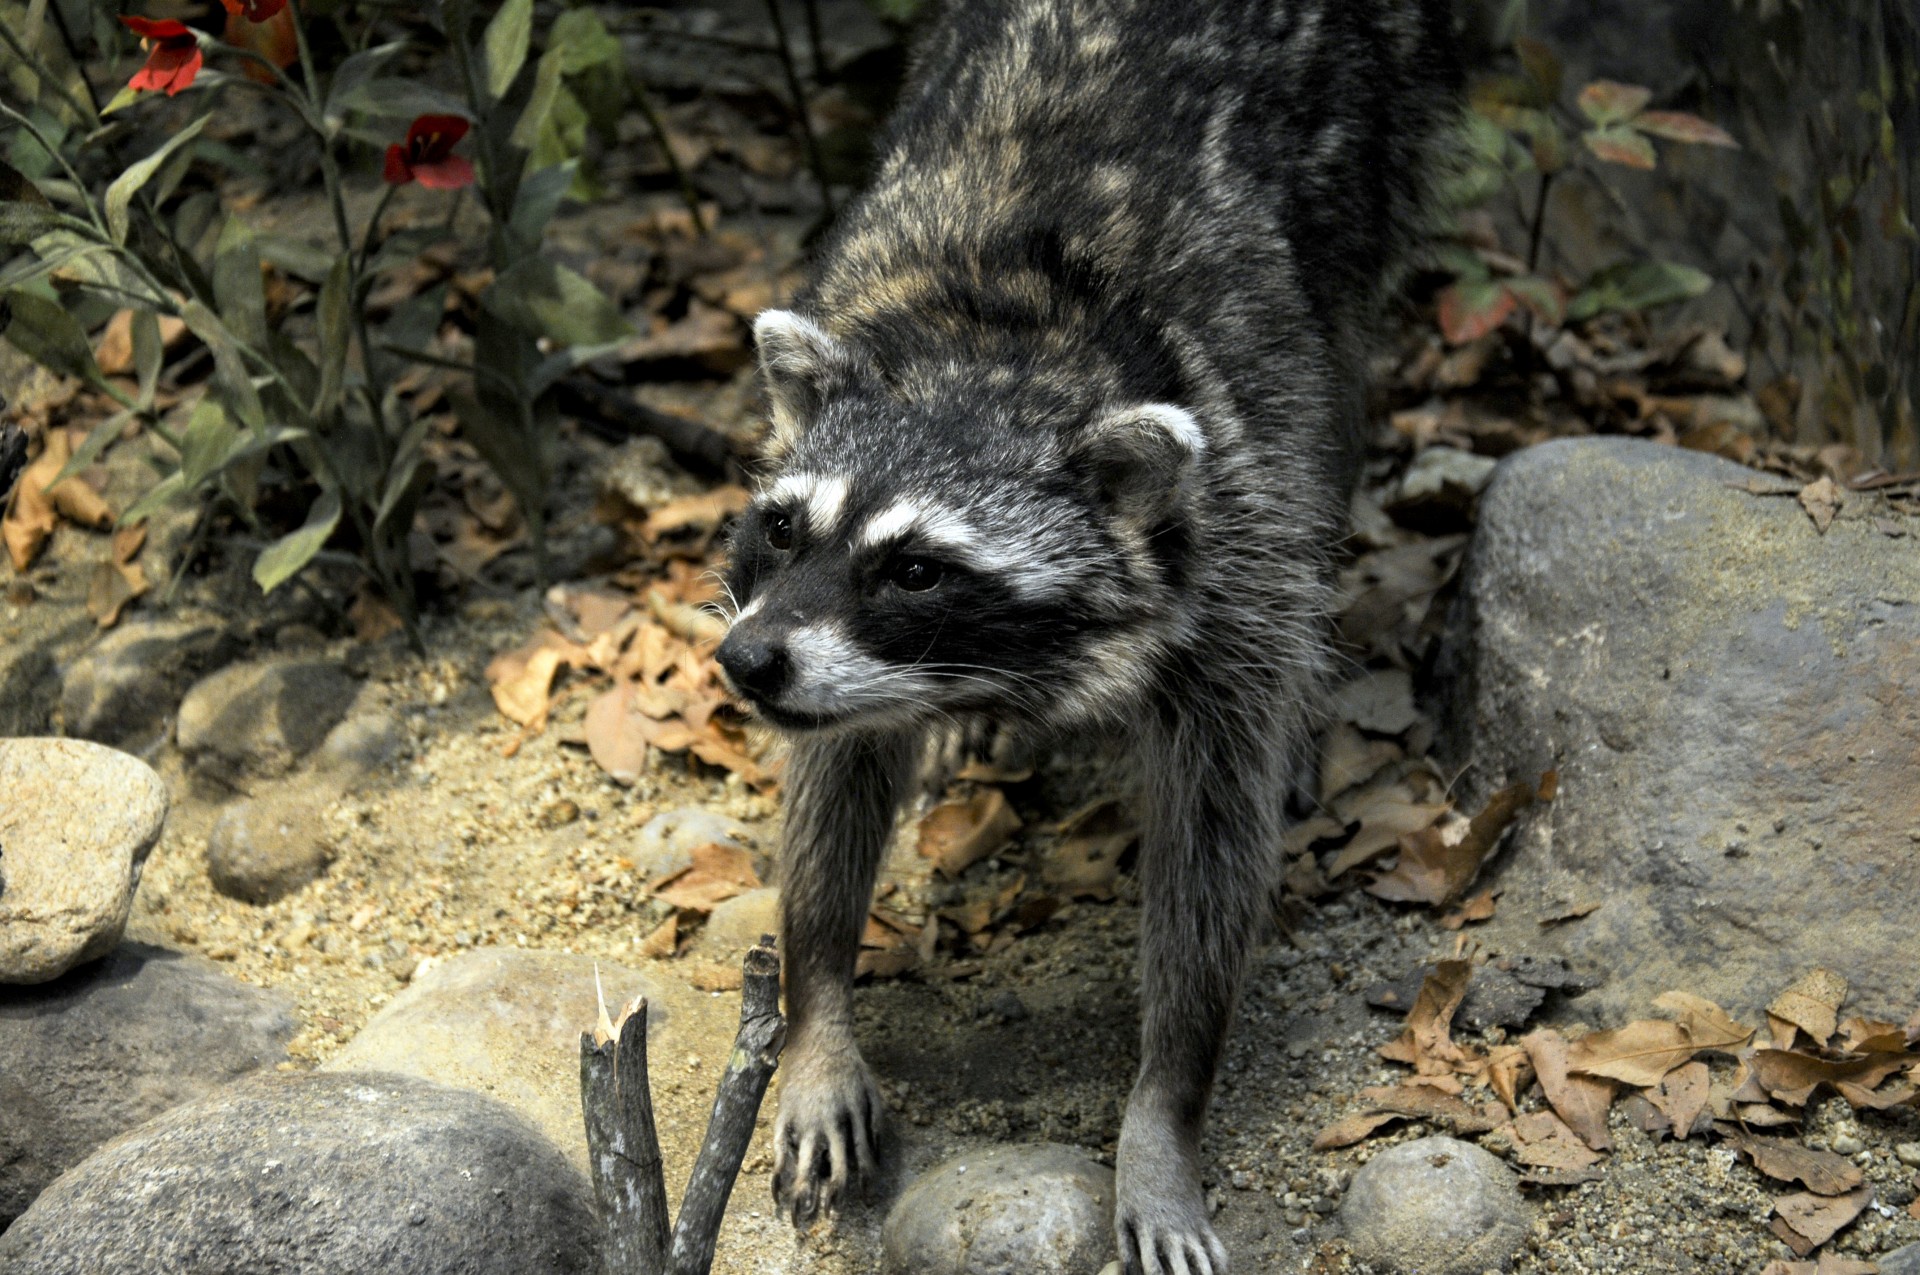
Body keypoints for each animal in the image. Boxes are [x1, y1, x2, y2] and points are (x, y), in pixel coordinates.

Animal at [718, 4, 1451, 1267]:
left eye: (915, 569)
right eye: (781, 527)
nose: (744, 662)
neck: (1001, 345)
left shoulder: (1238, 544)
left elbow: (1212, 842)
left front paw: (1164, 1108)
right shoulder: (826, 650)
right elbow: (837, 770)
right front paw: (817, 1003)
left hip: (1369, 163)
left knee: (1342, 378)